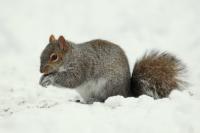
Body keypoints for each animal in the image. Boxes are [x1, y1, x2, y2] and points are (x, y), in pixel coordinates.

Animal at [39, 34, 186, 103]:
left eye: (54, 57)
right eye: (42, 52)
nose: (41, 70)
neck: (73, 56)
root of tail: (127, 94)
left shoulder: (82, 66)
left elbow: (72, 80)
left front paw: (50, 79)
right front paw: (42, 79)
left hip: (108, 85)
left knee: (105, 99)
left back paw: (94, 101)